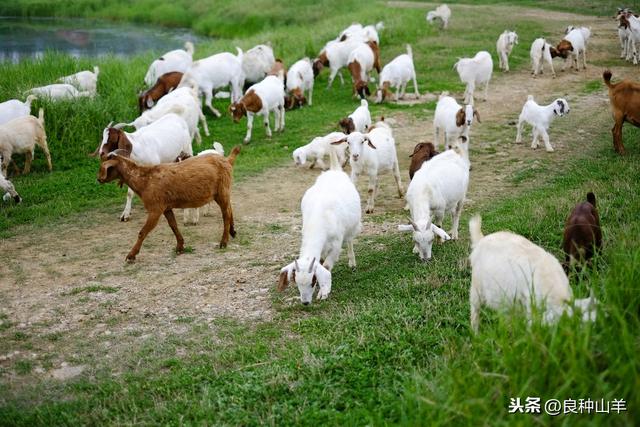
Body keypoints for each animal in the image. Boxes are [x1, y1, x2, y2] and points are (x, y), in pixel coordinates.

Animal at [97, 146, 240, 260]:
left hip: (222, 190)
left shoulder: (155, 209)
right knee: (230, 209)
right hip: (220, 192)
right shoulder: (166, 207)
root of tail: (227, 160)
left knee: (226, 214)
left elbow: (143, 232)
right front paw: (180, 246)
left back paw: (224, 242)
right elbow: (173, 226)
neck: (145, 181)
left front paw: (131, 255)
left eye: (105, 167)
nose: (98, 179)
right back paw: (232, 231)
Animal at [278, 149, 362, 306]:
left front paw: (323, 293)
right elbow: (320, 262)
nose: (305, 302)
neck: (319, 219)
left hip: (352, 226)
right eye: (297, 282)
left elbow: (327, 266)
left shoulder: (336, 245)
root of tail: (334, 170)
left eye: (312, 281)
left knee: (349, 240)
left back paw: (352, 263)